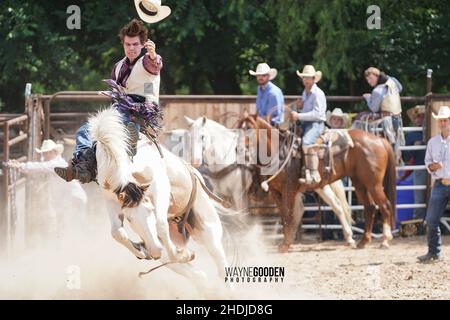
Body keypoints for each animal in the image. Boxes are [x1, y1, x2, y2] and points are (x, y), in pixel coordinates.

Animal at [237, 114, 396, 251]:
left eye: (249, 127)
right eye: (239, 127)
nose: (238, 148)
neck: (280, 151)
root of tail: (380, 140)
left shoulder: (289, 189)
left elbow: (289, 214)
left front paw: (286, 244)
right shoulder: (276, 192)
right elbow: (284, 215)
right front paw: (286, 242)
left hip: (373, 184)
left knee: (385, 206)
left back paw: (385, 240)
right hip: (359, 184)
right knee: (368, 207)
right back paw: (362, 241)